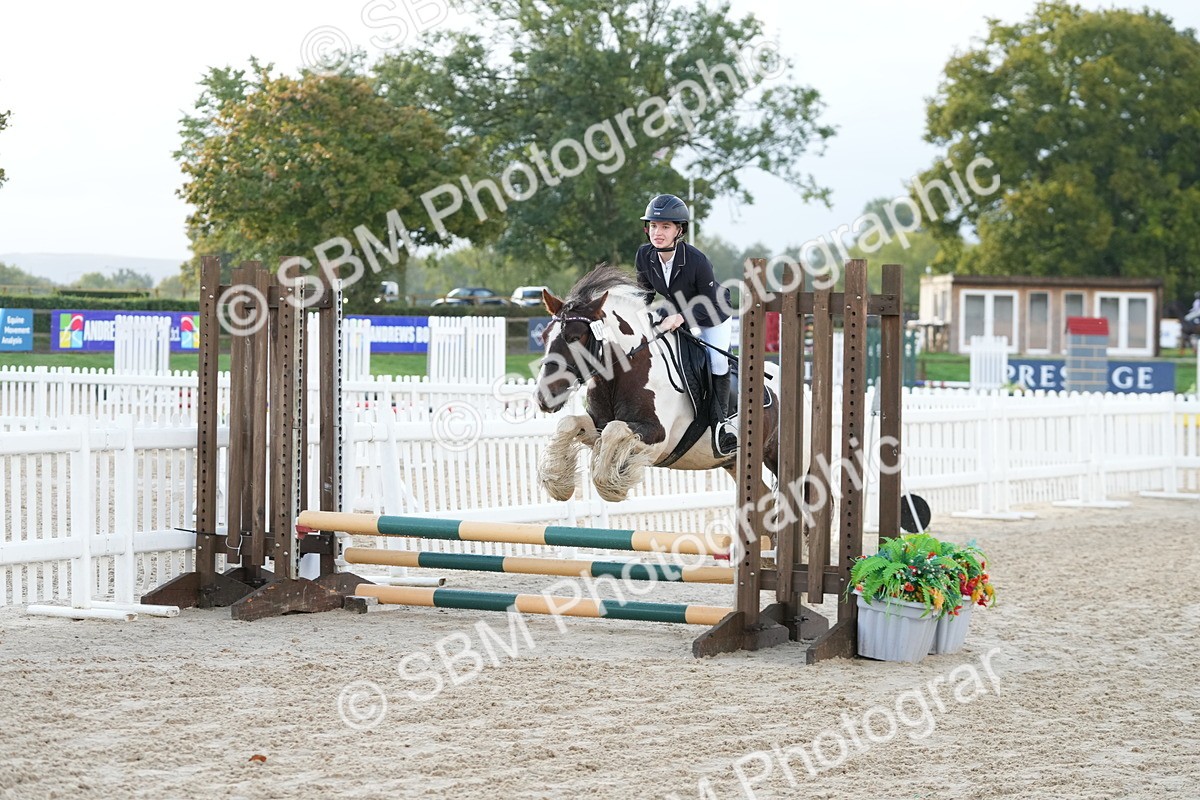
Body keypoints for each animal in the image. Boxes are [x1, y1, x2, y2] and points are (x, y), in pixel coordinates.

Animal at [533, 264, 791, 504]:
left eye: (575, 338)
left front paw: (613, 482)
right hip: (734, 462)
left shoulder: (657, 435)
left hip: (777, 457)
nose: (544, 397)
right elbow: (569, 423)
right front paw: (558, 483)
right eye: (544, 336)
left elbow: (614, 429)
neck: (622, 373)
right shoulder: (596, 423)